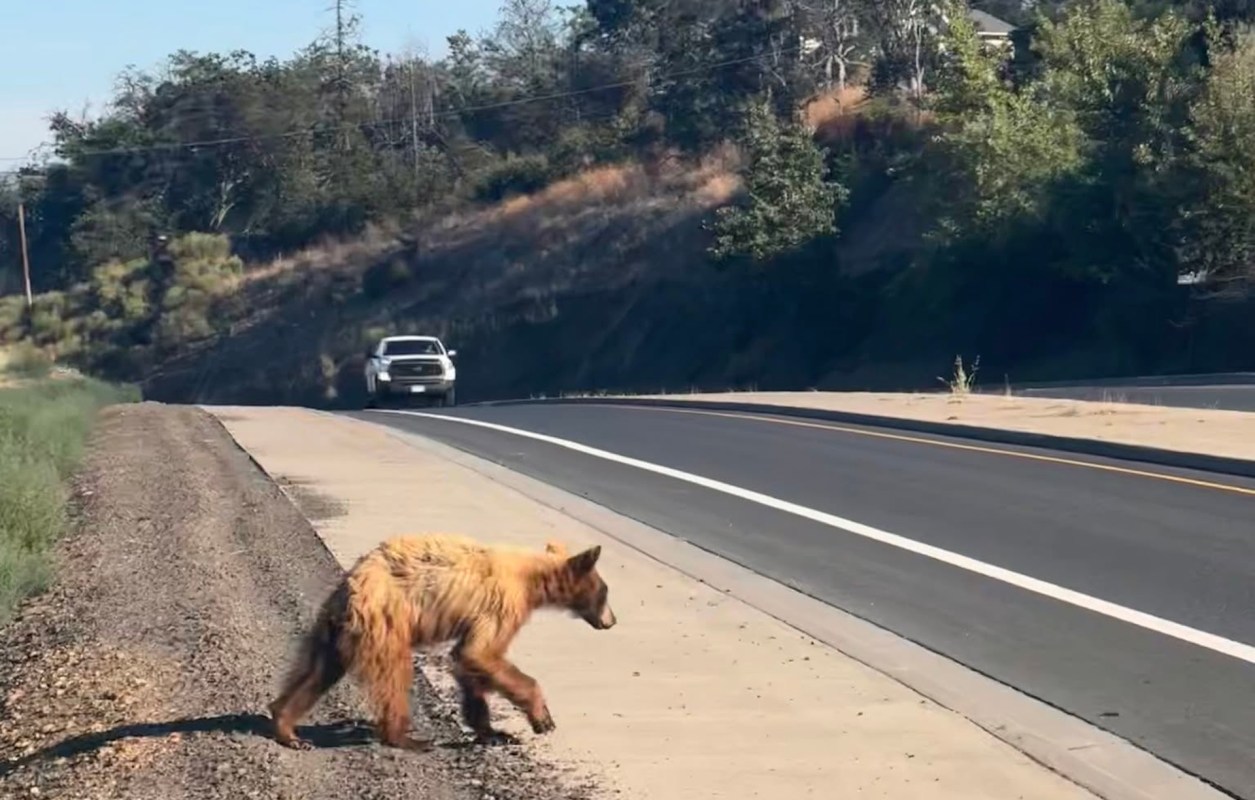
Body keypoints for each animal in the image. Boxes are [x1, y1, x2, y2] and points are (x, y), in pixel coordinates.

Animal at [267, 532, 617, 751]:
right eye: (605, 591)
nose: (611, 621)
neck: (532, 579)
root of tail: (351, 587)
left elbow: (468, 662)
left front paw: (492, 732)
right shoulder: (502, 604)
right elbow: (481, 653)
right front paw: (542, 719)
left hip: (334, 631)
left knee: (316, 673)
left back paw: (287, 726)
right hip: (386, 623)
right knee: (393, 677)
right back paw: (407, 738)